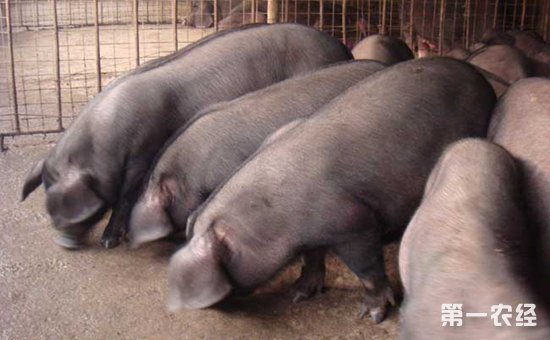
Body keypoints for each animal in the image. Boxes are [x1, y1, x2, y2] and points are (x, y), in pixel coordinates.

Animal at [19, 21, 354, 250]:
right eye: (47, 190)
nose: (64, 243)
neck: (106, 144)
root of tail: (342, 47)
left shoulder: (142, 155)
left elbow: (126, 196)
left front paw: (110, 241)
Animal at [168, 57, 496, 322]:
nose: (195, 304)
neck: (277, 213)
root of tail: (476, 74)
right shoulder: (310, 236)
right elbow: (312, 259)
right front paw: (298, 295)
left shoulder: (354, 222)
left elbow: (367, 269)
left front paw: (371, 316)